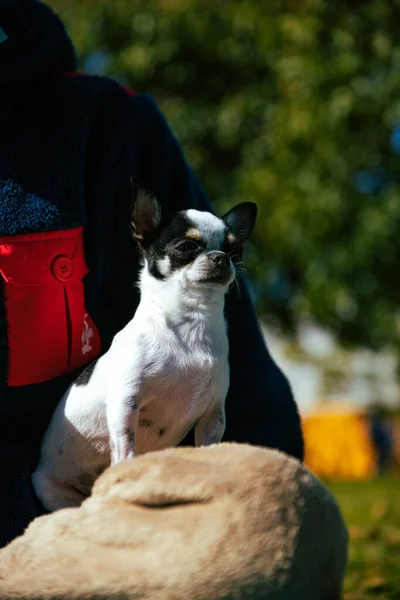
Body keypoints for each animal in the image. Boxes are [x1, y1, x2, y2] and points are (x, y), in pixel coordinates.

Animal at [31, 186, 256, 510]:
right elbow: (125, 447)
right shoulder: (126, 401)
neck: (192, 322)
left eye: (234, 252)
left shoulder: (213, 416)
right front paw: (125, 474)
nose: (220, 258)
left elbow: (207, 447)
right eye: (185, 247)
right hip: (54, 491)